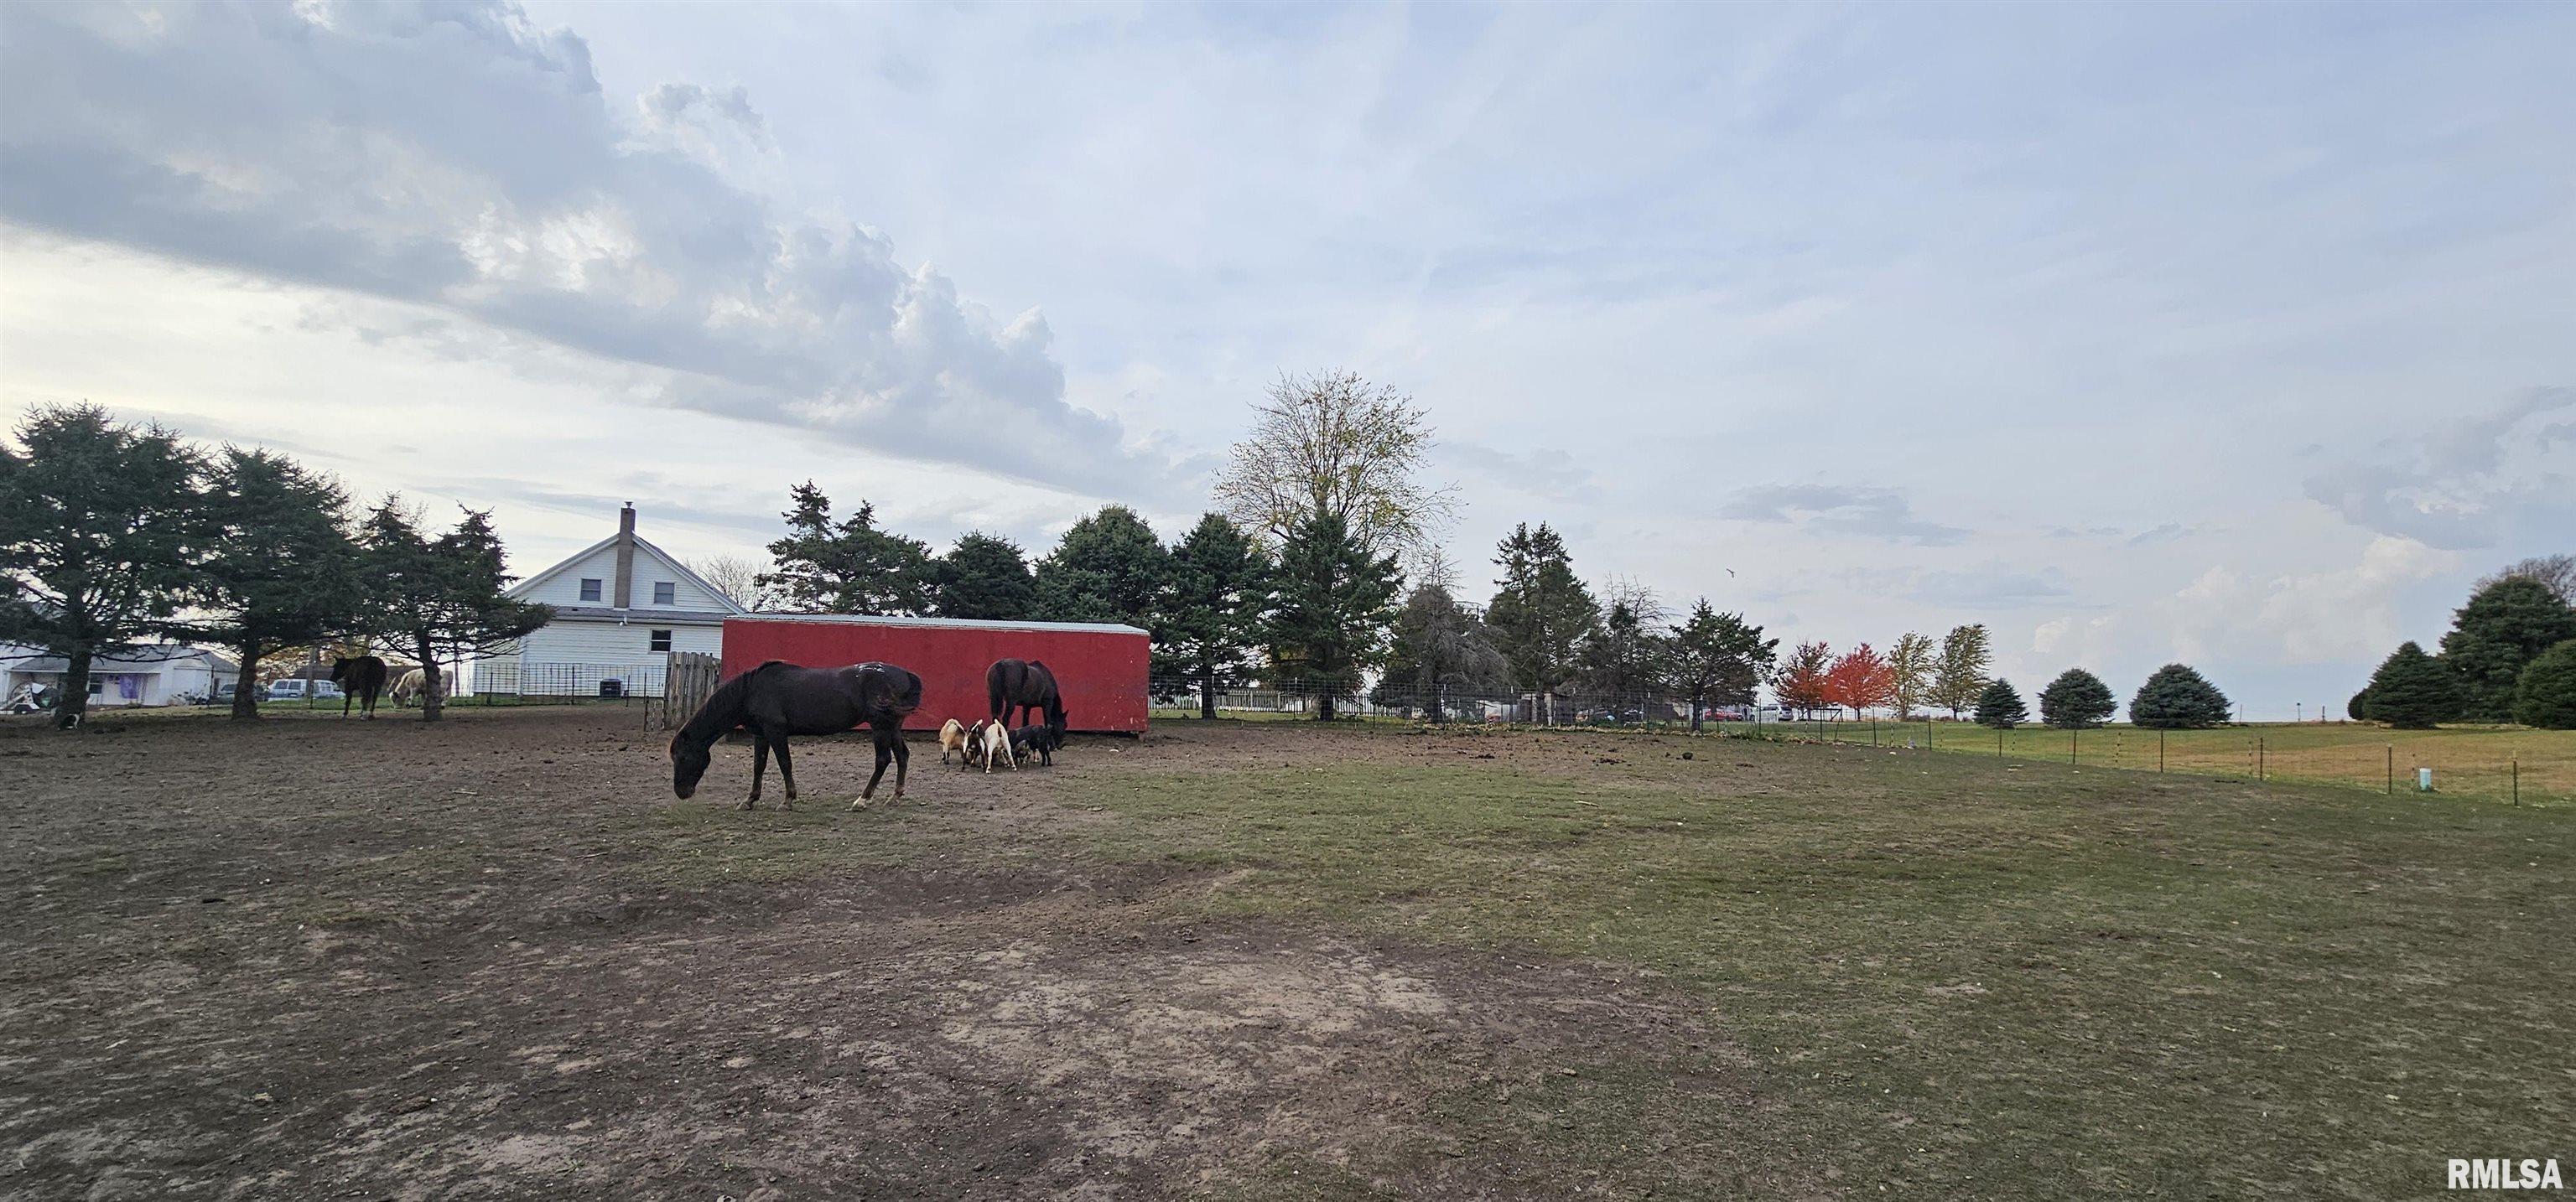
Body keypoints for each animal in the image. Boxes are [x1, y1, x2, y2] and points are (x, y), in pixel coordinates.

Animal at [674, 664, 927, 813]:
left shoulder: (776, 731)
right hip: (893, 726)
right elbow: (759, 766)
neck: (752, 691)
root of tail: (905, 674)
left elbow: (785, 764)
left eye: (683, 757)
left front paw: (788, 800)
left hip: (880, 726)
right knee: (902, 756)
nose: (681, 792)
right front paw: (750, 800)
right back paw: (894, 796)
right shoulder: (760, 734)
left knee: (883, 760)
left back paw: (863, 800)